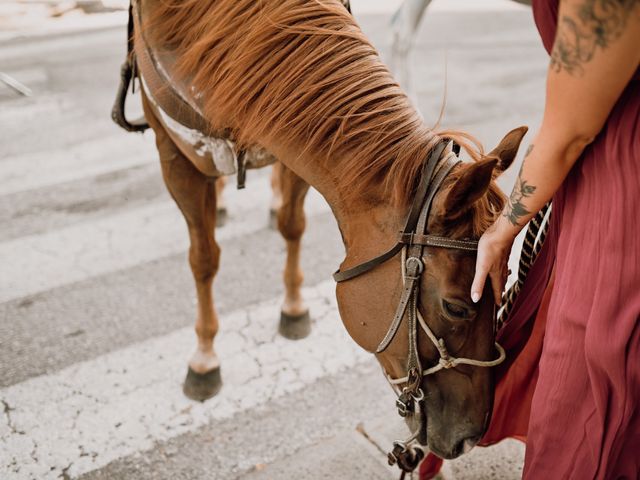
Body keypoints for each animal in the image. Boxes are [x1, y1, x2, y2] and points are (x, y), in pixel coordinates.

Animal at [122, 0, 528, 468]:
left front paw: (294, 308)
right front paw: (204, 360)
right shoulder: (174, 156)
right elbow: (203, 258)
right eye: (457, 308)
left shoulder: (288, 130)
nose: (472, 434)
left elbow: (292, 225)